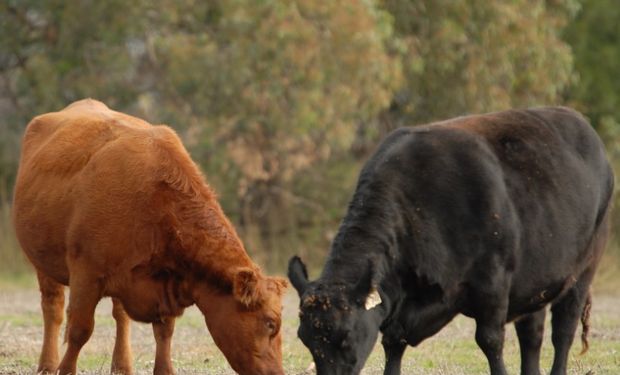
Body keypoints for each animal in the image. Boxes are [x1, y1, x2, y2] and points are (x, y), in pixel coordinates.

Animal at [12, 100, 288, 375]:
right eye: (271, 323)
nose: (277, 373)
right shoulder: (86, 273)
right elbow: (80, 330)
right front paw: (65, 369)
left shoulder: (165, 284)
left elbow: (164, 332)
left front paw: (164, 369)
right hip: (44, 261)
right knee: (53, 308)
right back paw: (48, 364)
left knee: (120, 316)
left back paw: (121, 365)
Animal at [288, 106, 612, 375]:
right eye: (305, 339)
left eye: (346, 337)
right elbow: (393, 341)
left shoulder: (493, 280)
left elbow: (490, 340)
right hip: (536, 280)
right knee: (532, 336)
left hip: (585, 268)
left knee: (563, 331)